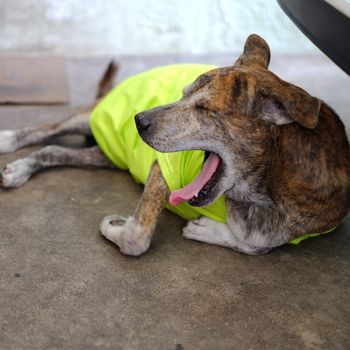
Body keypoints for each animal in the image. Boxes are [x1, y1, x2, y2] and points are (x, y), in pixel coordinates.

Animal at [0, 34, 350, 256]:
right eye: (182, 94)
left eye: (205, 109)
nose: (138, 120)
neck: (265, 193)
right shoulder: (163, 168)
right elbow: (137, 237)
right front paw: (117, 227)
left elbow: (256, 244)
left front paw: (208, 229)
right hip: (96, 117)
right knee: (46, 130)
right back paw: (10, 145)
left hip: (107, 152)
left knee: (54, 150)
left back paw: (21, 168)